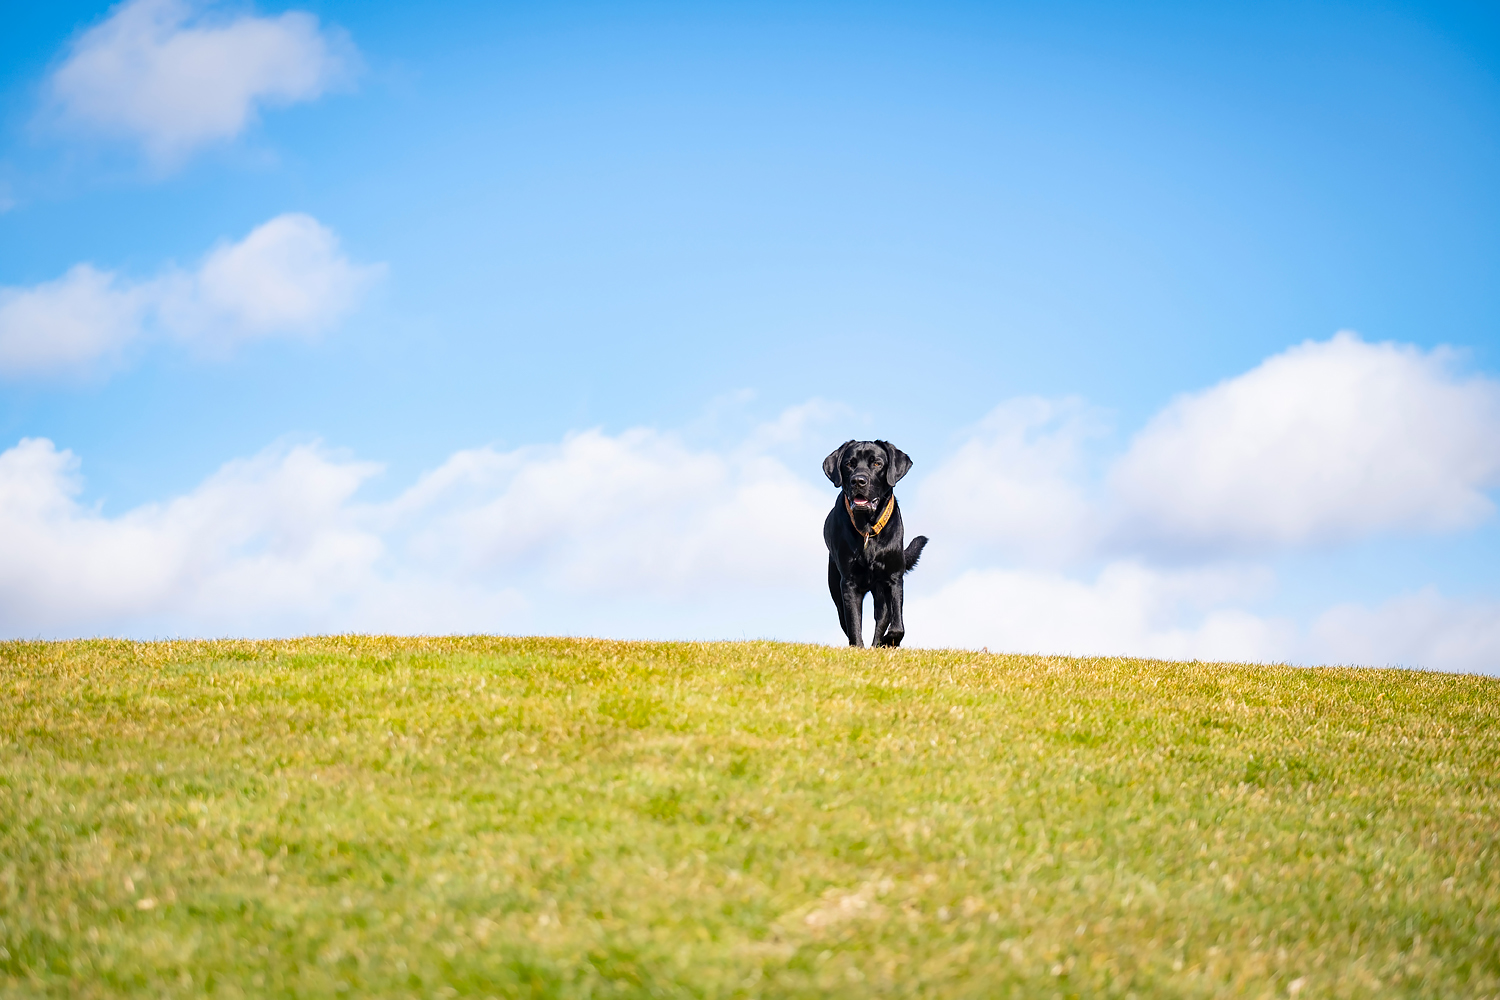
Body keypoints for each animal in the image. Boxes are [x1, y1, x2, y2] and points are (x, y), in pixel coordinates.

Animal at [823, 440, 928, 647]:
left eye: (877, 464)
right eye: (849, 464)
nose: (858, 481)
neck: (868, 529)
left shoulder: (894, 578)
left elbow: (897, 626)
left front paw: (889, 640)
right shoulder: (849, 583)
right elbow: (854, 624)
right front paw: (858, 647)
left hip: (881, 593)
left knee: (882, 619)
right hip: (836, 589)